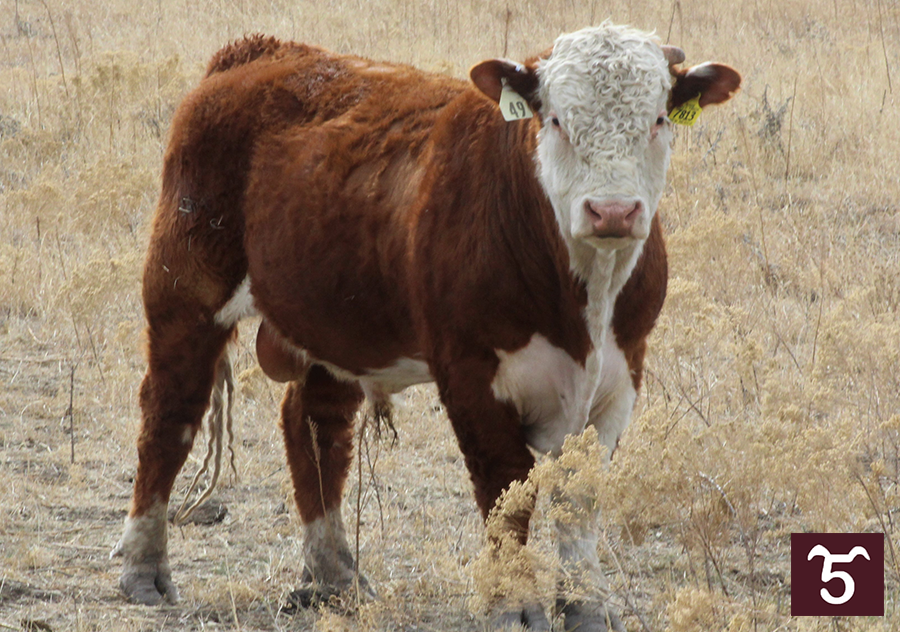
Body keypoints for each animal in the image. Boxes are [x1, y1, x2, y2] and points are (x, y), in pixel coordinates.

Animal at [110, 23, 740, 631]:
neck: (583, 299)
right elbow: (505, 489)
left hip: (337, 321)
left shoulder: (622, 371)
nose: (612, 211)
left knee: (314, 430)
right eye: (557, 119)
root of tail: (259, 52)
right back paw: (144, 569)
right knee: (168, 417)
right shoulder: (469, 371)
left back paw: (335, 575)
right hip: (184, 292)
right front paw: (513, 604)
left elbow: (580, 495)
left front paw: (587, 604)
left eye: (658, 119)